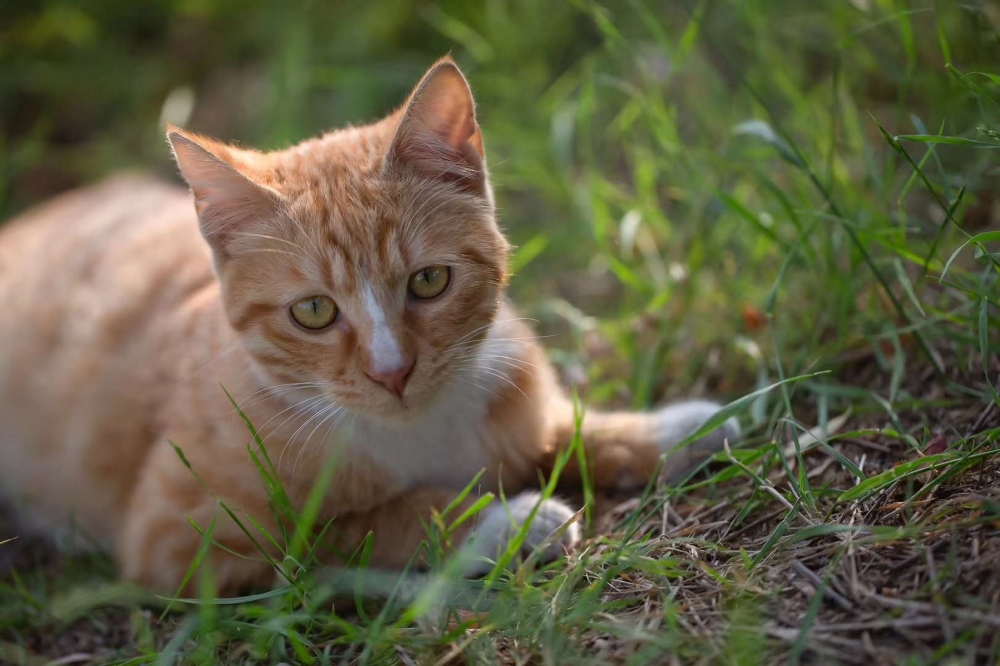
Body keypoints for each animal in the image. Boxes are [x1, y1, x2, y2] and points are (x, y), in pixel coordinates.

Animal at [0, 55, 736, 588]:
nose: (393, 371)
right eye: (313, 311)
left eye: (430, 280)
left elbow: (567, 429)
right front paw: (502, 521)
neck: (423, 431)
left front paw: (672, 429)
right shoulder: (183, 538)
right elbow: (358, 523)